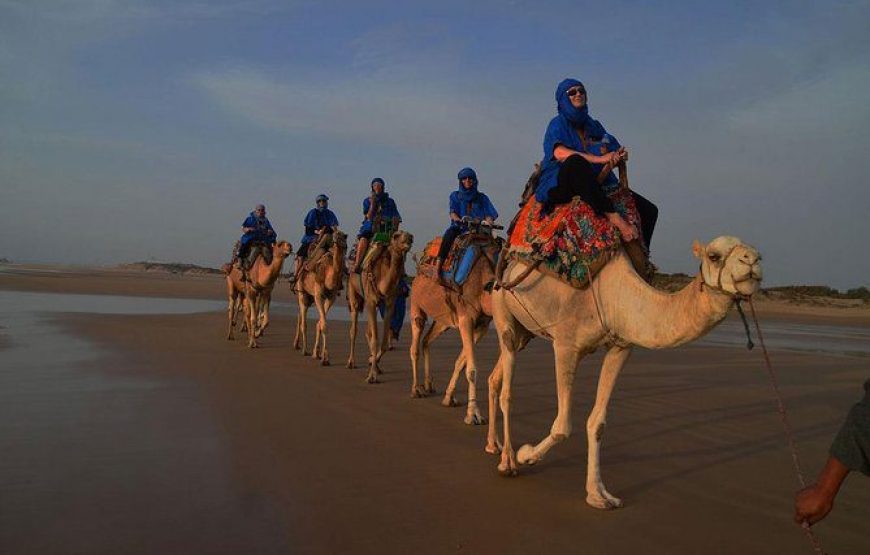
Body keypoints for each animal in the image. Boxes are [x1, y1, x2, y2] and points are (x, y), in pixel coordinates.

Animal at [292, 231, 348, 368]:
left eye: (344, 237)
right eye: (335, 238)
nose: (341, 245)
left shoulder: (331, 297)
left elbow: (320, 323)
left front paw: (318, 354)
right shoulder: (318, 296)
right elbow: (324, 325)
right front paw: (325, 358)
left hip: (310, 297)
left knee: (301, 315)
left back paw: (301, 346)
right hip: (302, 292)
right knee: (303, 319)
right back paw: (303, 349)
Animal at [348, 229, 416, 382]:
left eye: (410, 237)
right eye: (396, 236)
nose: (409, 239)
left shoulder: (389, 303)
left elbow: (383, 342)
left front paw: (373, 363)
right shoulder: (371, 301)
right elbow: (375, 340)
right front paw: (371, 376)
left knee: (368, 332)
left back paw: (375, 365)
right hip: (354, 293)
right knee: (354, 329)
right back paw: (351, 362)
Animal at [410, 232, 500, 424]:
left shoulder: (482, 326)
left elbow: (461, 362)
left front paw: (448, 398)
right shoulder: (466, 317)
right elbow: (471, 369)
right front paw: (473, 414)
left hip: (442, 320)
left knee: (426, 340)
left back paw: (428, 385)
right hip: (415, 303)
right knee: (415, 344)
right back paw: (416, 389)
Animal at [488, 237, 768, 510]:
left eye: (758, 254)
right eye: (713, 256)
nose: (752, 261)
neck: (614, 296)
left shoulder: (620, 348)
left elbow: (598, 423)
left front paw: (598, 494)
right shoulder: (566, 345)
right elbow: (563, 426)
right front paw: (526, 455)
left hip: (527, 331)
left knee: (496, 377)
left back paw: (493, 444)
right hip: (503, 311)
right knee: (507, 388)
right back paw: (508, 461)